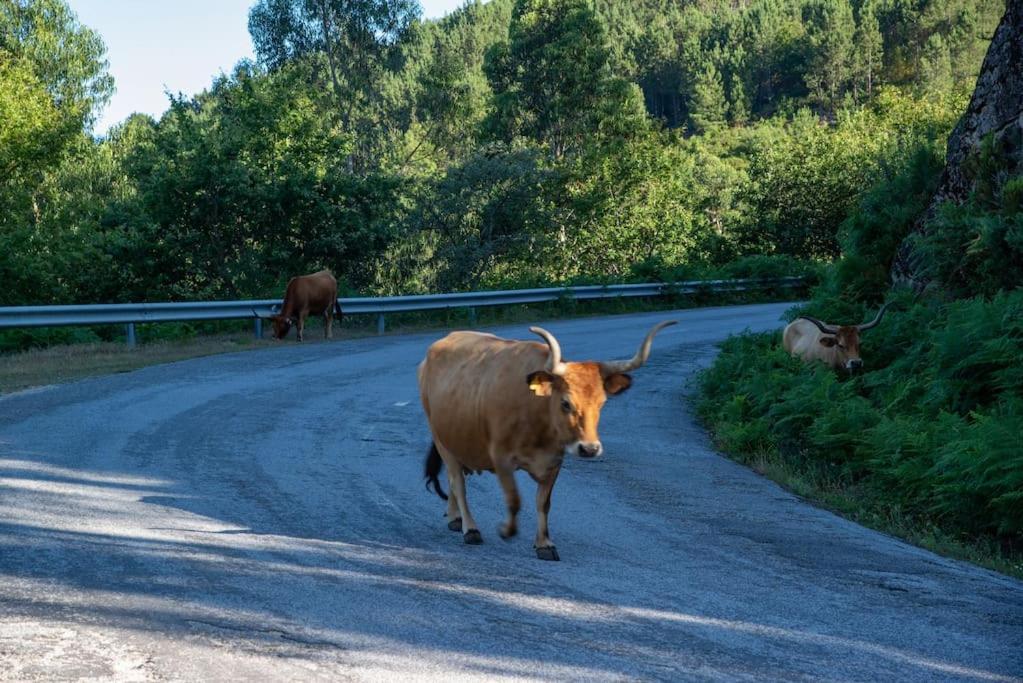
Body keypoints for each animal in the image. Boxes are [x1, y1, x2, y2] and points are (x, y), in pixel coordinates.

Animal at [419, 321, 675, 560]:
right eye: (566, 403)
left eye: (602, 403)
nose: (590, 448)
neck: (536, 415)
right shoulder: (500, 457)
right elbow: (514, 499)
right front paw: (506, 530)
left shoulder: (554, 461)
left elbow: (543, 503)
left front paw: (544, 544)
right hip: (441, 438)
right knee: (457, 482)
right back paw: (470, 528)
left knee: (455, 480)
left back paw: (455, 518)